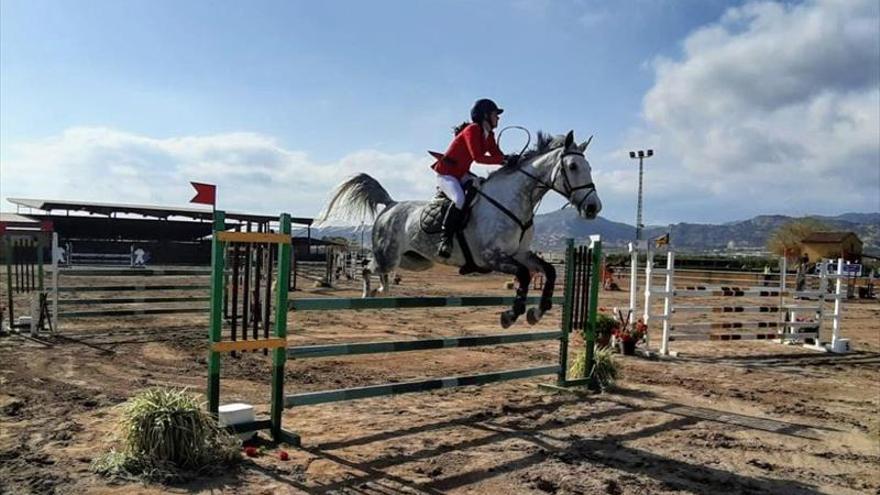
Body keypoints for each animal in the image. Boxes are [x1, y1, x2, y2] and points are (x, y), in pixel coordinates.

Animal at [320, 130, 600, 328]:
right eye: (573, 167)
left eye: (590, 168)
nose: (593, 207)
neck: (514, 200)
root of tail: (390, 205)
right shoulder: (492, 257)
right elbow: (523, 275)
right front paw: (510, 315)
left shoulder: (519, 254)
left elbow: (549, 271)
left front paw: (536, 313)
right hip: (388, 256)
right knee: (368, 266)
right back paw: (368, 293)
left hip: (415, 261)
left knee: (381, 272)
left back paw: (381, 290)